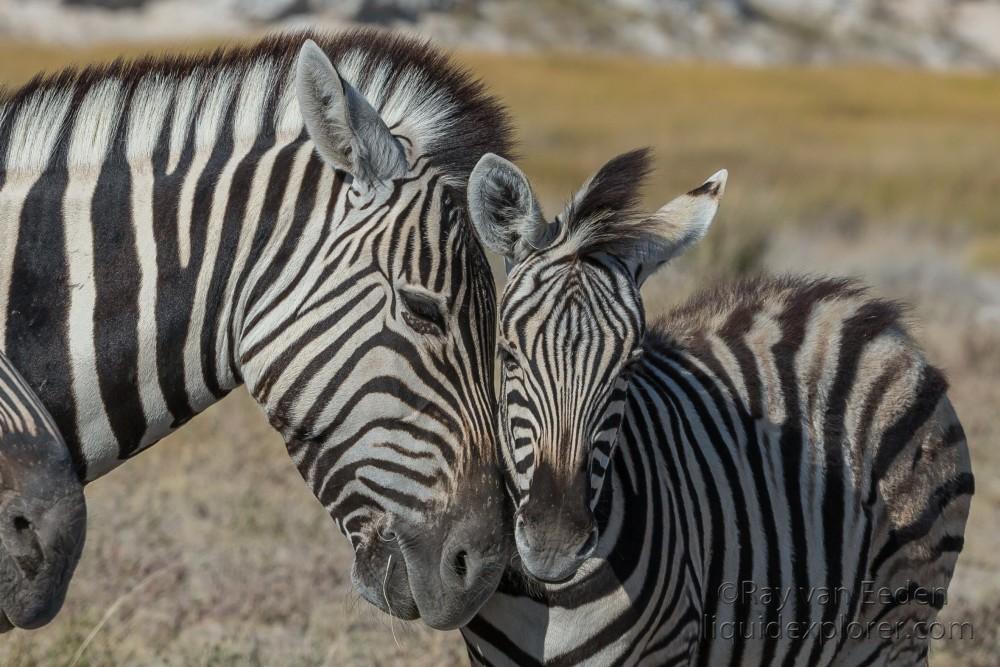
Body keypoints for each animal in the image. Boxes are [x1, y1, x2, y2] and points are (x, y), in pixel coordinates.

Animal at [462, 149, 976, 664]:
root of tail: (872, 320)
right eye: (507, 355)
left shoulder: (670, 647)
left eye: (629, 367)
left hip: (896, 620)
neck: (552, 600)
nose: (554, 544)